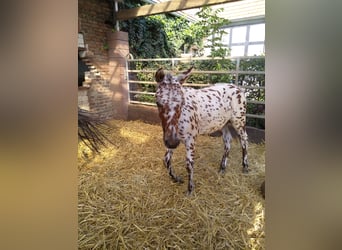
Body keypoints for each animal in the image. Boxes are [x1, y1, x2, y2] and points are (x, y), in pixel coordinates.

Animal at [155, 67, 248, 195]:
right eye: (158, 102)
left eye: (182, 102)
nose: (172, 142)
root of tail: (239, 89)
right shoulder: (171, 137)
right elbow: (166, 160)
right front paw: (176, 179)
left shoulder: (190, 139)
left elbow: (189, 164)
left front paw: (190, 189)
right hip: (224, 123)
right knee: (228, 141)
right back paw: (222, 168)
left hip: (239, 120)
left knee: (244, 140)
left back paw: (245, 167)